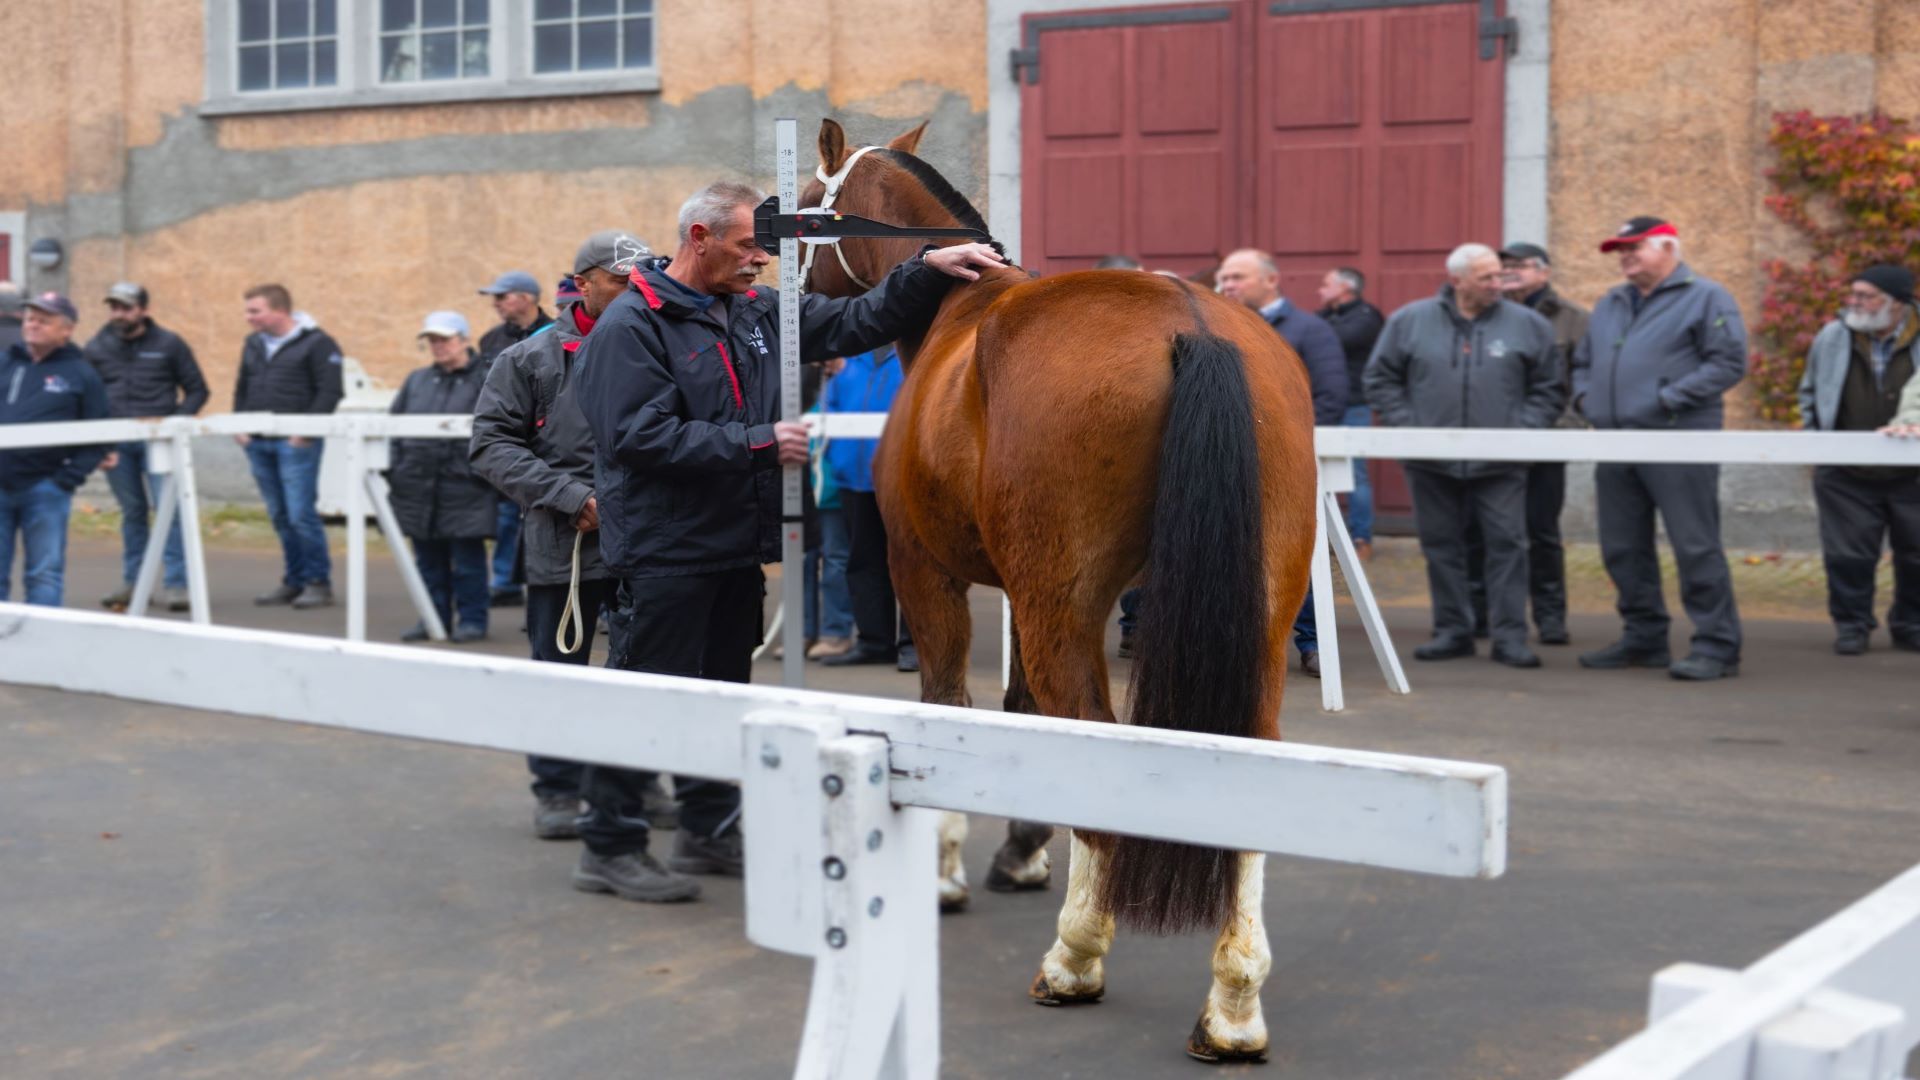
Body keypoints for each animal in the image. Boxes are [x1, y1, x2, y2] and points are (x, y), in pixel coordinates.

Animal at [799, 118, 1318, 1063]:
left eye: (813, 198)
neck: (959, 314)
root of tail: (1191, 325)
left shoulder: (925, 572)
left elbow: (954, 705)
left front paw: (950, 868)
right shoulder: (1022, 588)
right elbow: (1018, 711)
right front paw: (1021, 851)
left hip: (1060, 608)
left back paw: (1075, 958)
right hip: (1246, 615)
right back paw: (1233, 1004)